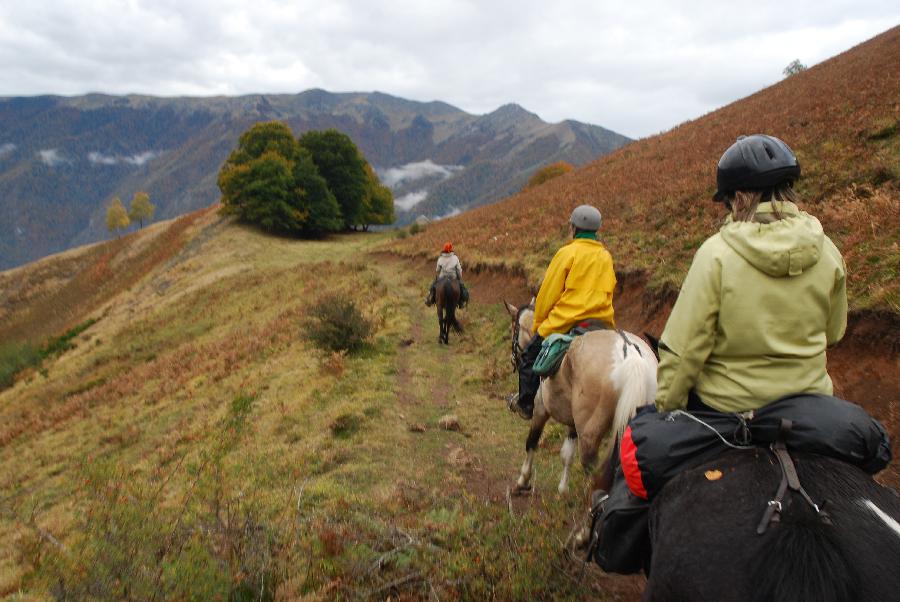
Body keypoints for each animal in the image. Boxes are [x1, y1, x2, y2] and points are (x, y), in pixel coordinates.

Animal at [506, 300, 652, 492]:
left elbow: (531, 442)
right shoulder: (574, 422)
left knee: (590, 466)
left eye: (513, 330)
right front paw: (563, 488)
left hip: (590, 431)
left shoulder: (540, 410)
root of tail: (630, 353)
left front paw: (523, 480)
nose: (513, 359)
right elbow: (566, 454)